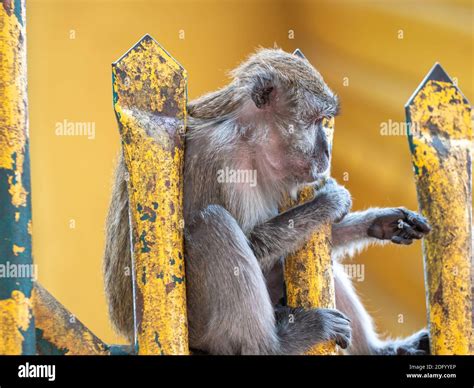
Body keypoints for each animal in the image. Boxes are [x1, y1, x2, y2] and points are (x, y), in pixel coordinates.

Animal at [103, 47, 430, 354]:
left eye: (324, 122)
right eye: (315, 121)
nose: (326, 152)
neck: (249, 137)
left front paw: (381, 223)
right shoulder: (221, 156)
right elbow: (253, 245)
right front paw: (329, 202)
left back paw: (380, 351)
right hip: (201, 328)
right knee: (212, 222)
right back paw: (274, 344)